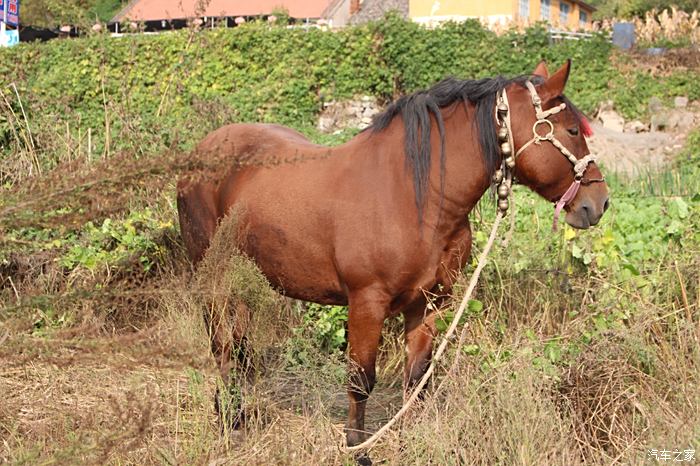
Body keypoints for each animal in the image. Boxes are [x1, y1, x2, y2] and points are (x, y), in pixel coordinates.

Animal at [175, 59, 608, 448]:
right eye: (572, 130)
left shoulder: (430, 304)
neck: (416, 196)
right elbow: (361, 380)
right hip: (212, 275)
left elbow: (417, 377)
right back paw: (230, 420)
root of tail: (201, 151)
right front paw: (357, 446)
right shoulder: (367, 303)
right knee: (221, 346)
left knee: (239, 346)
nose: (598, 203)